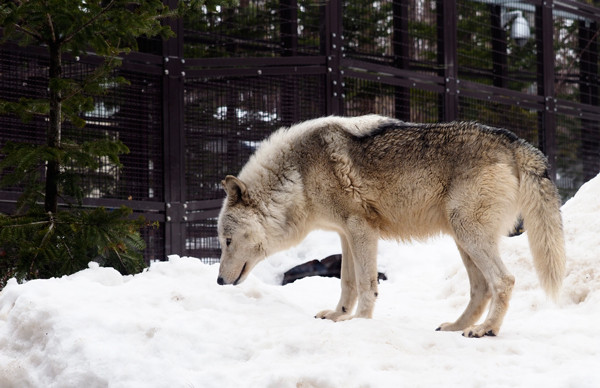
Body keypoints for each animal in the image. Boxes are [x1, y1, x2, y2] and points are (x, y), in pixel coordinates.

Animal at [217, 114, 568, 336]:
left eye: (227, 241)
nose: (219, 281)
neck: (298, 176)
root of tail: (514, 141)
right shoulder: (346, 233)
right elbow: (347, 282)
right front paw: (339, 316)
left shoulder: (361, 229)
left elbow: (366, 284)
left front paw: (360, 322)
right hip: (463, 239)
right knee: (480, 288)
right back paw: (456, 326)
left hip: (470, 236)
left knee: (504, 280)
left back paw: (486, 330)